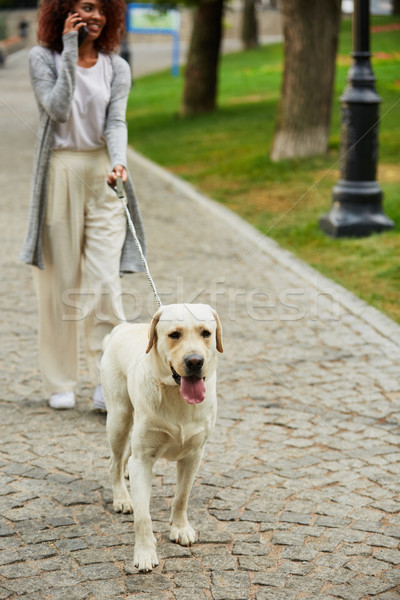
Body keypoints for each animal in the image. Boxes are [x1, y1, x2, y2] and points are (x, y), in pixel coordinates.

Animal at [101, 304, 222, 572]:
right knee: (114, 462)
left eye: (206, 333)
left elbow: (182, 496)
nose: (195, 361)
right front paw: (145, 553)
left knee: (125, 457)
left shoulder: (194, 455)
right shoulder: (143, 460)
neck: (176, 395)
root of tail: (122, 327)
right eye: (174, 334)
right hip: (119, 418)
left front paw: (180, 529)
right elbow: (143, 515)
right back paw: (122, 498)